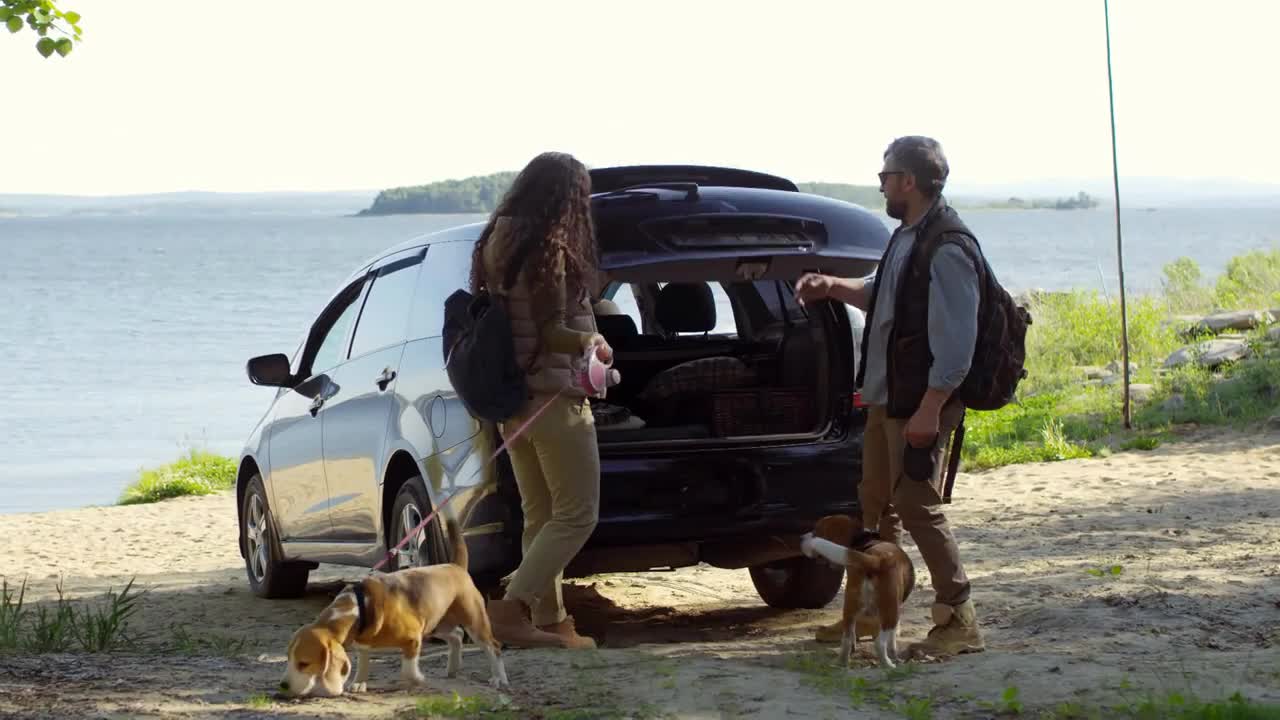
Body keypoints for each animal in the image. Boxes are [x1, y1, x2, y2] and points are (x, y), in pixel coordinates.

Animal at [280, 515, 509, 696]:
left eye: (304, 663)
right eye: (289, 658)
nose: (283, 686)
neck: (360, 606)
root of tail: (455, 566)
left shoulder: (413, 638)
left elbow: (408, 669)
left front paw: (417, 679)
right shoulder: (364, 644)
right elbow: (364, 661)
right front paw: (359, 682)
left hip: (473, 622)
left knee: (493, 646)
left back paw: (499, 678)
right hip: (436, 624)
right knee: (457, 636)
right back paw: (453, 667)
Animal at [793, 512, 916, 666]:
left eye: (817, 530)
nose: (800, 538)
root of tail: (874, 559)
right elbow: (891, 642)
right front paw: (895, 657)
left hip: (850, 607)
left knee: (846, 639)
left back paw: (842, 663)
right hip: (891, 611)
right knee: (879, 643)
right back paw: (888, 664)